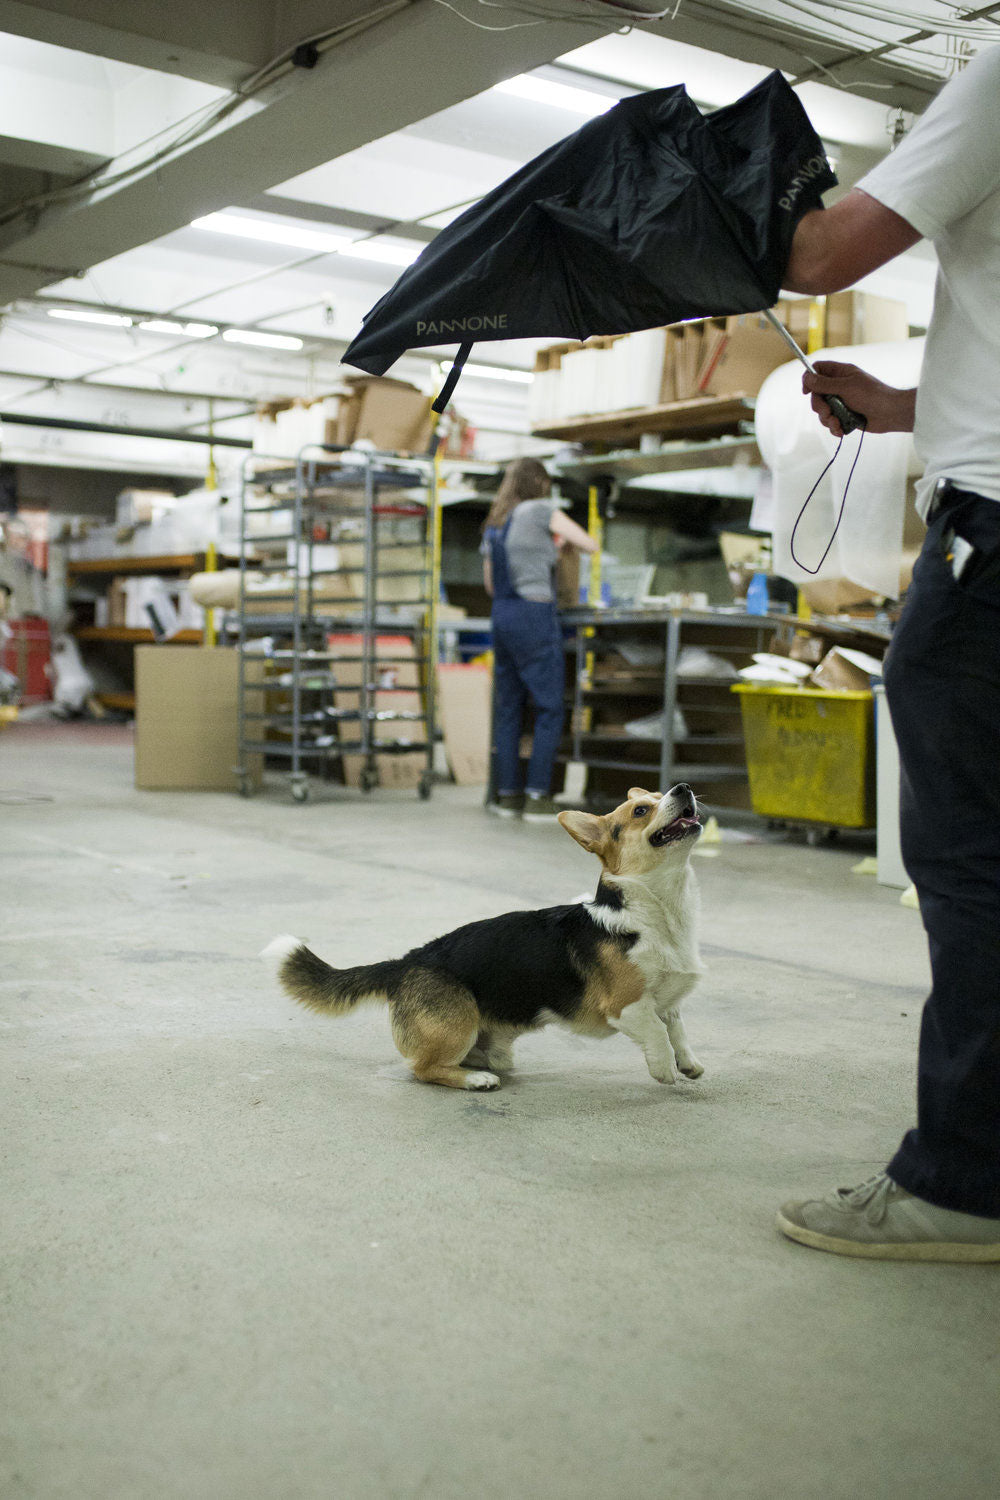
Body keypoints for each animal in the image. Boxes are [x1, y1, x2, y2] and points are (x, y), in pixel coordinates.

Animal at [263, 786, 704, 1092]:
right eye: (641, 810)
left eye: (658, 794)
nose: (683, 787)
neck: (658, 911)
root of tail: (406, 962)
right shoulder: (626, 1006)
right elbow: (657, 1032)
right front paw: (665, 1069)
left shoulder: (669, 1001)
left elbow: (677, 1030)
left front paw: (688, 1064)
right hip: (459, 1023)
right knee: (422, 1068)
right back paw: (476, 1081)